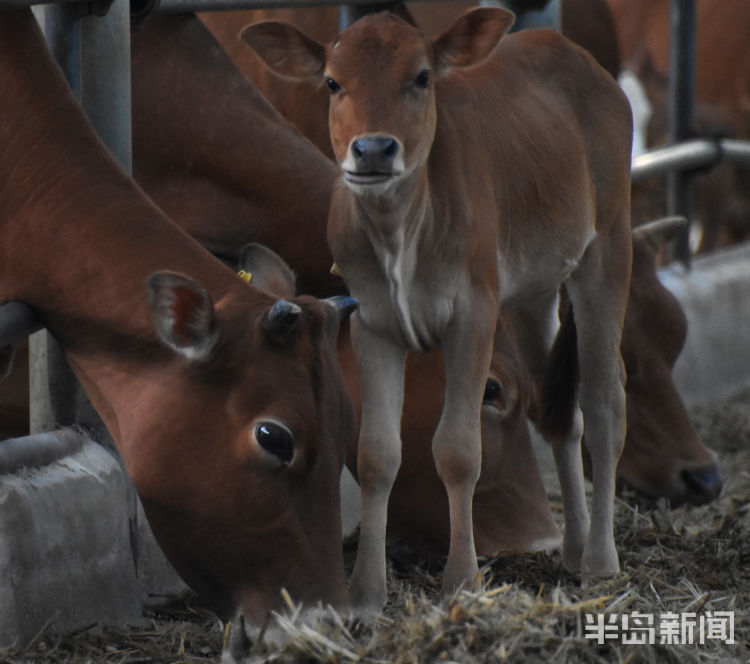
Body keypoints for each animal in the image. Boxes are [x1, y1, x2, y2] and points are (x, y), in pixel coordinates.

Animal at [245, 5, 636, 608]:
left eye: (422, 76)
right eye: (332, 82)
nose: (373, 149)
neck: (399, 233)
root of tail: (576, 56)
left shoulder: (473, 310)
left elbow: (457, 449)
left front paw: (462, 579)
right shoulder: (373, 322)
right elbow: (377, 454)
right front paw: (365, 592)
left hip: (609, 245)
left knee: (603, 400)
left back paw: (599, 559)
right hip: (533, 290)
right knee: (559, 409)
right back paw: (572, 547)